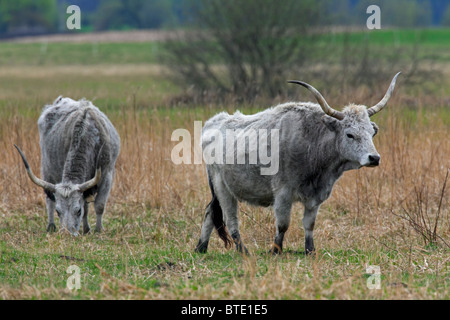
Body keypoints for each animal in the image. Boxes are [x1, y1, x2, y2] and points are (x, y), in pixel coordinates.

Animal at [15, 96, 120, 236]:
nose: (66, 233)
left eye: (78, 211)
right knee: (49, 199)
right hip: (47, 169)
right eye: (58, 211)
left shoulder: (107, 175)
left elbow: (99, 205)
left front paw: (96, 230)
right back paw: (51, 225)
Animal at [195, 72, 400, 255]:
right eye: (350, 134)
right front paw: (276, 250)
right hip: (222, 187)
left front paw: (310, 250)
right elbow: (283, 224)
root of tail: (214, 122)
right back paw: (242, 251)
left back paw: (201, 247)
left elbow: (309, 224)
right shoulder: (283, 193)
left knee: (209, 212)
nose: (374, 158)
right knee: (230, 220)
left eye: (372, 133)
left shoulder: (316, 196)